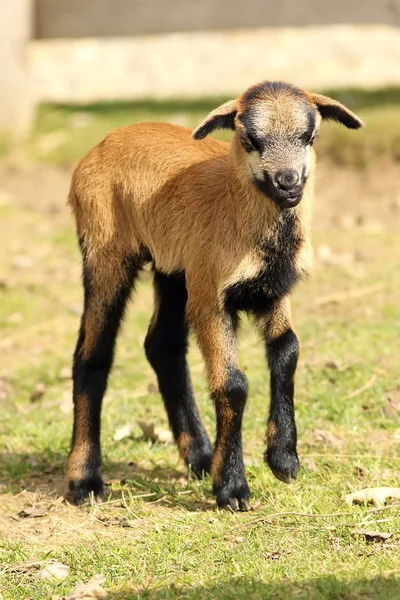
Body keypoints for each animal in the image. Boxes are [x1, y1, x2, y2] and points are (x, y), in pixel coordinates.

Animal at [66, 81, 362, 510]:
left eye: (310, 136)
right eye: (250, 139)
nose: (288, 183)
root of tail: (106, 141)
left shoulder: (272, 290)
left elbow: (288, 352)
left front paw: (284, 459)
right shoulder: (212, 299)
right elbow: (233, 383)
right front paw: (233, 488)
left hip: (173, 270)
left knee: (163, 346)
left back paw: (202, 456)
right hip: (106, 252)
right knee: (92, 355)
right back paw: (85, 481)